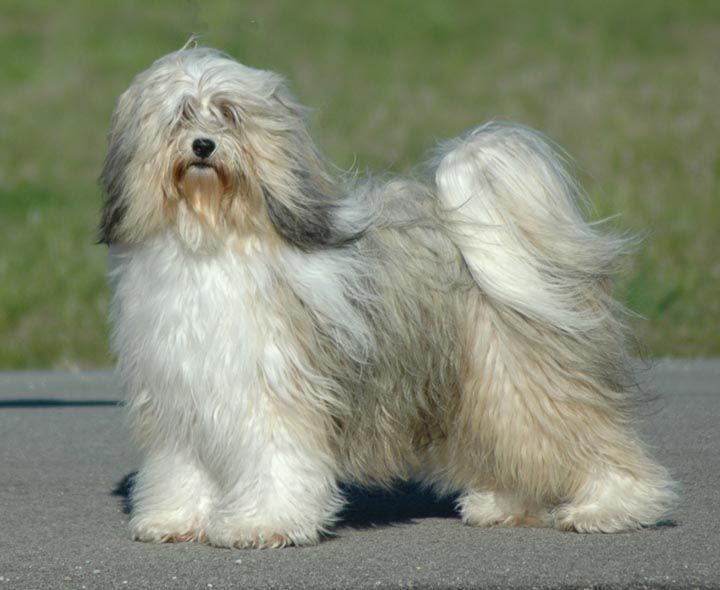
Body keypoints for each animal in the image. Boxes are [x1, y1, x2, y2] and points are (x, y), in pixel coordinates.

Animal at [100, 41, 676, 552]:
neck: (214, 237)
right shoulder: (180, 394)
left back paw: (612, 506)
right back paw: (503, 504)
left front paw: (262, 524)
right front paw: (177, 518)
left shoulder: (275, 388)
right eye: (180, 116)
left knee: (587, 436)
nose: (203, 145)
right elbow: (181, 465)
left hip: (520, 373)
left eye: (229, 114)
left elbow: (274, 458)